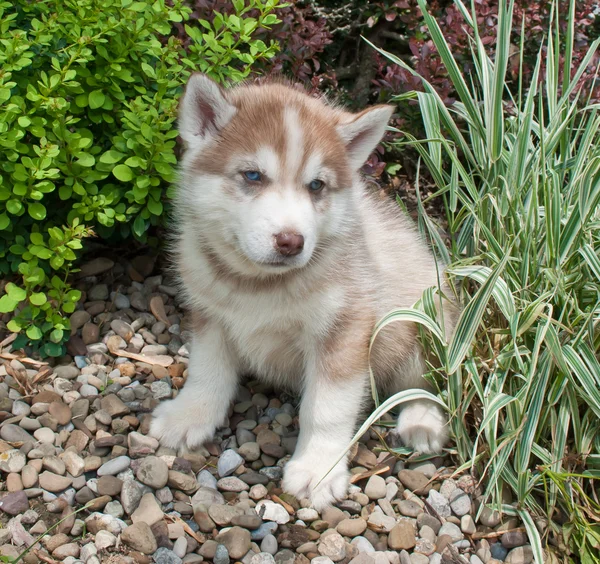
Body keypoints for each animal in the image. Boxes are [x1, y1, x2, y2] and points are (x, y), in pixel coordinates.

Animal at [150, 72, 454, 508]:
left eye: (316, 185)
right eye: (253, 176)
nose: (291, 241)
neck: (257, 286)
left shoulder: (344, 329)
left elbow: (326, 408)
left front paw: (317, 467)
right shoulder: (210, 315)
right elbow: (207, 372)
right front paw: (189, 416)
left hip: (421, 324)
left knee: (426, 385)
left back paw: (421, 421)